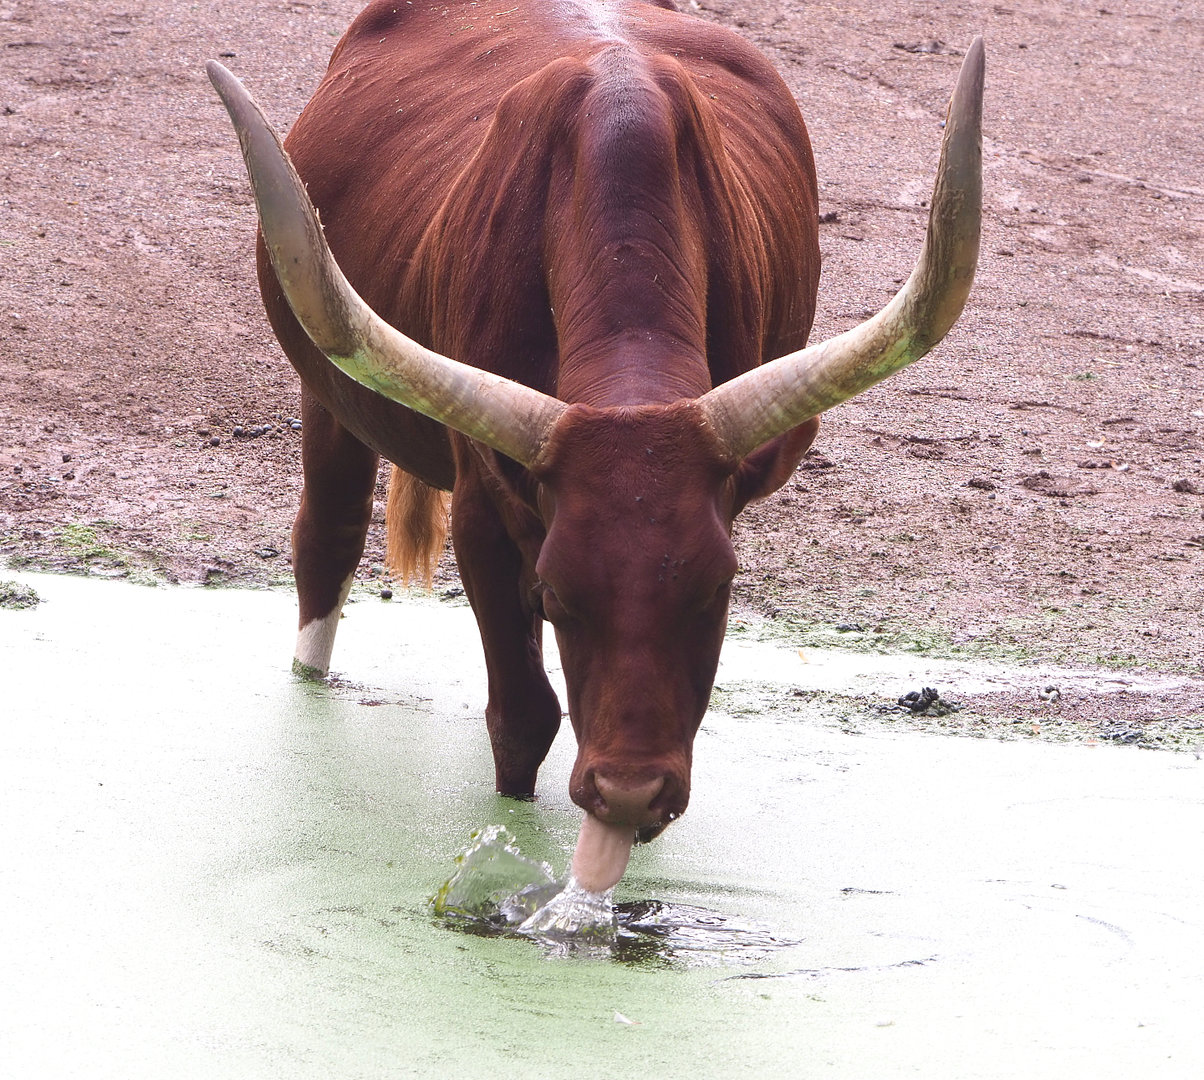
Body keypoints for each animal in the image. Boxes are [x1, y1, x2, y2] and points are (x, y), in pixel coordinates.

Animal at [209, 0, 982, 894]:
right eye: (556, 592)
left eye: (718, 589)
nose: (628, 789)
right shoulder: (484, 510)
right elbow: (522, 718)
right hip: (328, 394)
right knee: (325, 542)